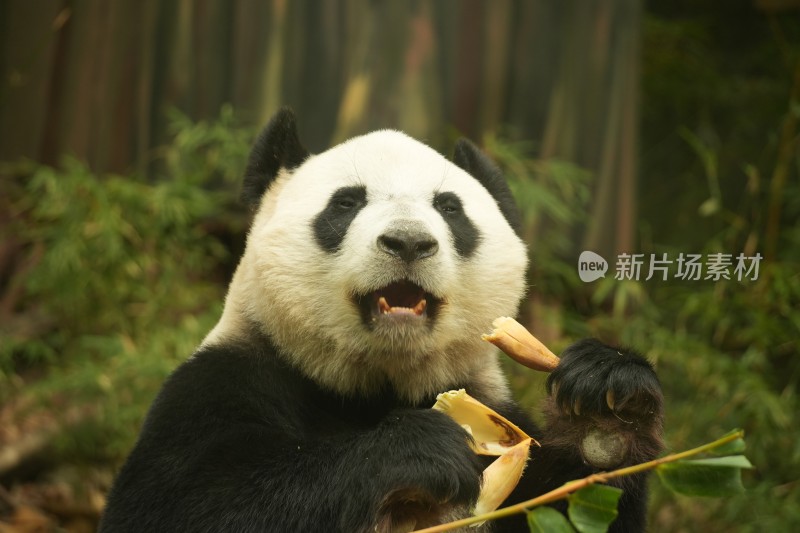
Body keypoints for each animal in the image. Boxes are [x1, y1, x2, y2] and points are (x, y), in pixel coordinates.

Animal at [100, 109, 664, 532]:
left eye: (451, 209)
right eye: (346, 203)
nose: (409, 242)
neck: (377, 383)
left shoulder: (499, 414)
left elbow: (573, 504)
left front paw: (606, 403)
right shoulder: (222, 382)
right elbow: (183, 505)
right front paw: (416, 450)